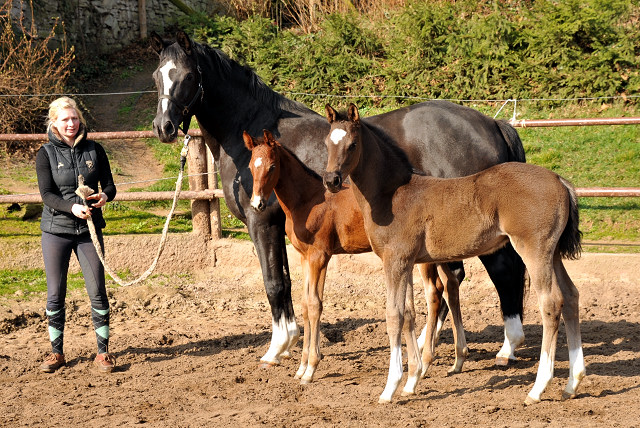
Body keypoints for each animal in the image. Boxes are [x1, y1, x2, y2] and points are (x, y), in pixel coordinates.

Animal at [242, 130, 468, 384]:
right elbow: (305, 305)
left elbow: (315, 305)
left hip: (424, 258)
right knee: (451, 286)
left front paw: (310, 369)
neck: (308, 200)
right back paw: (458, 359)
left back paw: (426, 362)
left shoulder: (320, 256)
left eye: (272, 167)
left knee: (435, 292)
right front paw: (301, 368)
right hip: (439, 252)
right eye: (250, 166)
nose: (257, 204)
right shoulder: (304, 257)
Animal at [324, 103, 584, 404]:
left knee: (551, 303)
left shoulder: (395, 260)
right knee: (571, 297)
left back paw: (537, 388)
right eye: (327, 142)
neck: (392, 195)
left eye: (353, 144)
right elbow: (410, 313)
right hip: (553, 254)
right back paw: (572, 383)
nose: (331, 180)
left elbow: (394, 315)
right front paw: (412, 381)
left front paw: (390, 388)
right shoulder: (408, 262)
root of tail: (560, 181)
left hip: (535, 250)